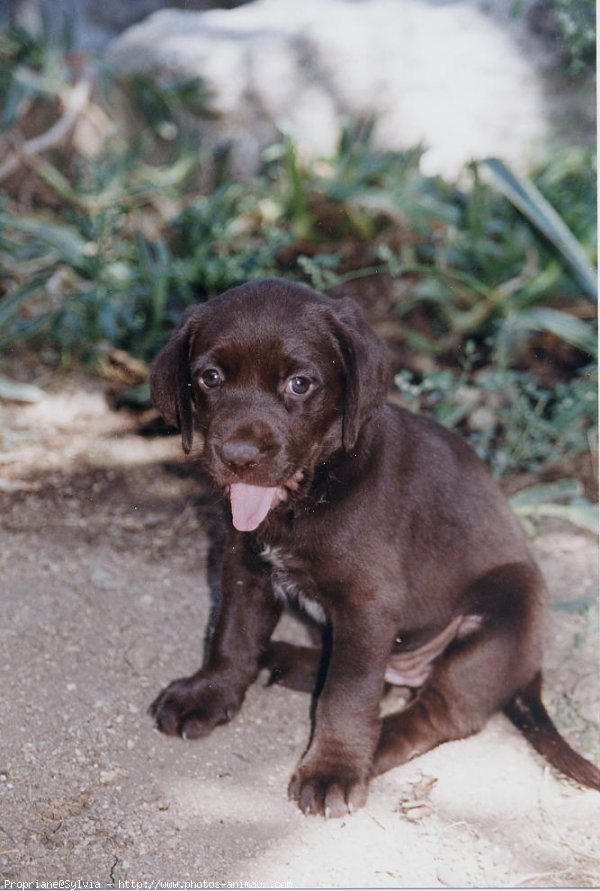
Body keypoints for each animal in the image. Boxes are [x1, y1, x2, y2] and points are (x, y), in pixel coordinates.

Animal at [148, 278, 596, 816]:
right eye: (210, 377)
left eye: (300, 383)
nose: (238, 456)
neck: (311, 493)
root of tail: (530, 674)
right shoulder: (244, 566)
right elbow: (231, 638)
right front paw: (208, 693)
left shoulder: (369, 605)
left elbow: (348, 692)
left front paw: (334, 768)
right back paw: (286, 660)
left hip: (511, 606)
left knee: (438, 712)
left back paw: (374, 744)